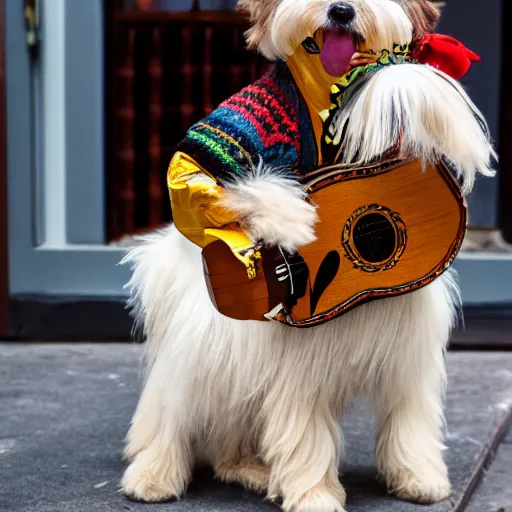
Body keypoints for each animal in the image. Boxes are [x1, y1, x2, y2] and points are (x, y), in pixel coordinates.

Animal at [121, 2, 496, 510]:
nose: (340, 10)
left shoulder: (409, 360)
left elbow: (409, 417)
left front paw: (418, 476)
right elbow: (194, 176)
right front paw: (315, 494)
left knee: (229, 440)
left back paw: (248, 467)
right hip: (205, 353)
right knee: (172, 410)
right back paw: (155, 474)